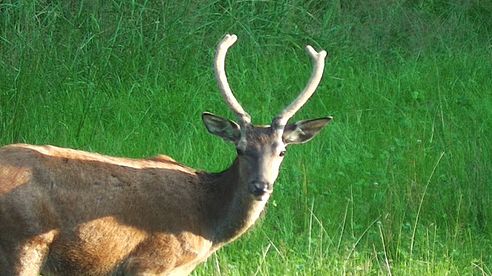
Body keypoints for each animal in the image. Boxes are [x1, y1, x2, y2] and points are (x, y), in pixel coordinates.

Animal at [0, 35, 332, 276]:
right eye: (240, 149)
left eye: (282, 151)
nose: (261, 186)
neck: (207, 223)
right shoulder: (151, 262)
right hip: (22, 244)